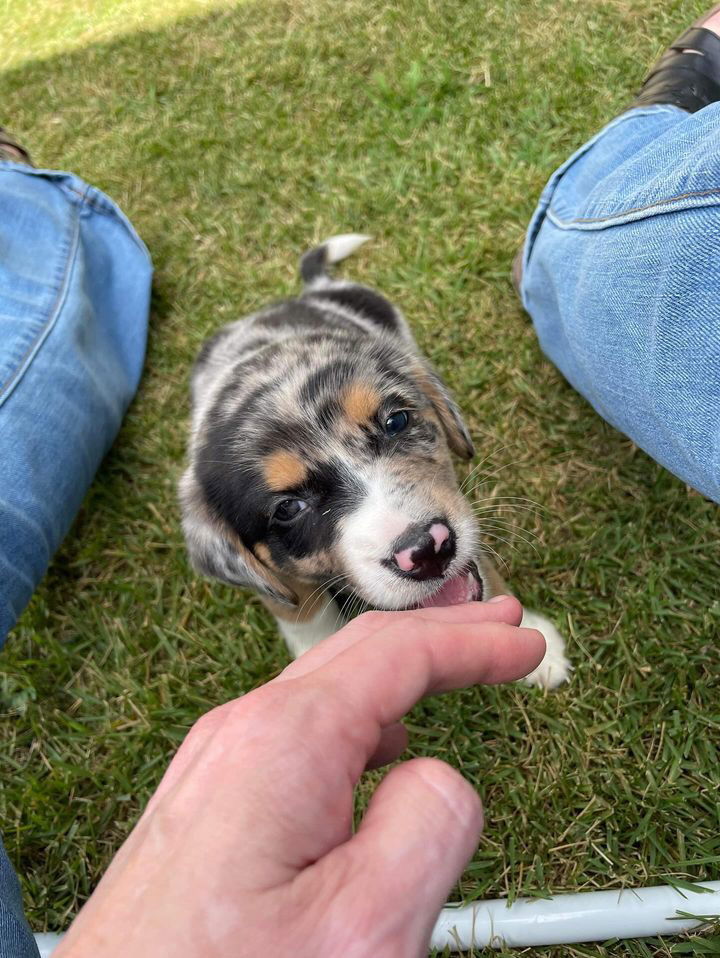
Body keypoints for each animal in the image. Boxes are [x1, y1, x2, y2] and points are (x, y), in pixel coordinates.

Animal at [179, 240, 568, 688]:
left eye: (396, 421)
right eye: (288, 508)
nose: (427, 549)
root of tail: (312, 289)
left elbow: (485, 576)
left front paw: (537, 647)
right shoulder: (275, 583)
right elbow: (302, 612)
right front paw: (312, 662)